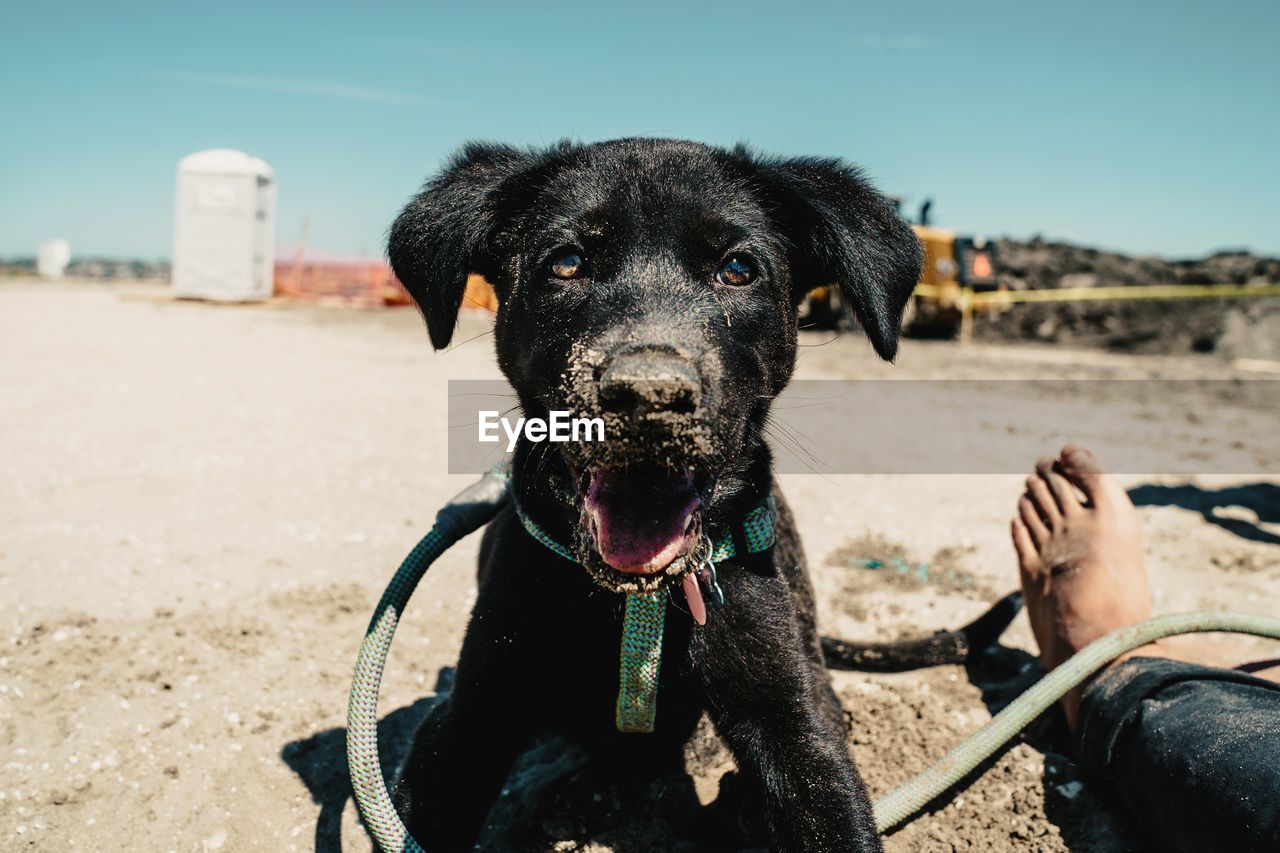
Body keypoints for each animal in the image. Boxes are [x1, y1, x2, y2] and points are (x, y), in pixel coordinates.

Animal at [386, 136, 921, 845]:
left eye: (738, 268)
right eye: (567, 262)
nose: (648, 397)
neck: (639, 605)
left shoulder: (792, 718)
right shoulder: (469, 716)